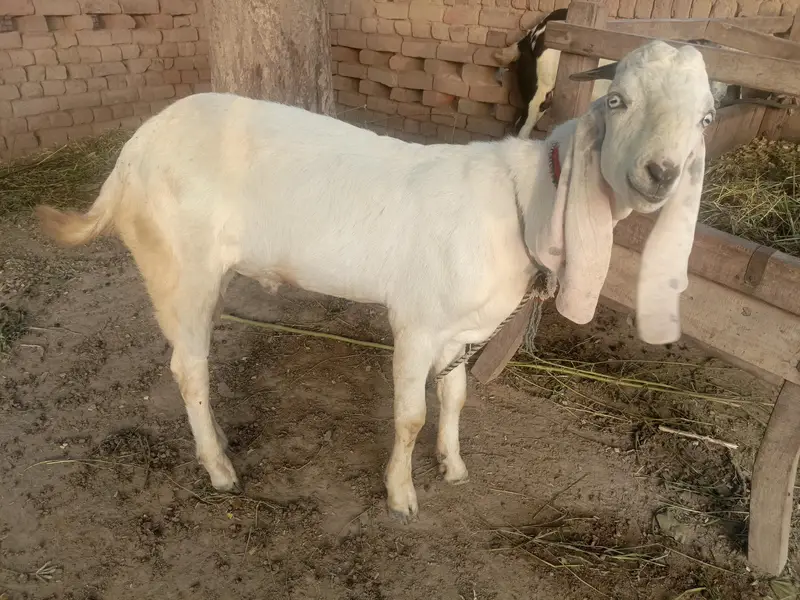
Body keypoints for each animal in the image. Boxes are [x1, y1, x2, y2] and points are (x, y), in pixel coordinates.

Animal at [37, 40, 714, 522]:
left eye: (706, 117)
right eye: (618, 101)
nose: (661, 172)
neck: (522, 201)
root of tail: (128, 159)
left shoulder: (459, 328)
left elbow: (455, 396)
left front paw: (453, 465)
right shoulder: (415, 321)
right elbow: (410, 415)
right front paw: (400, 495)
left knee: (190, 362)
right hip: (181, 266)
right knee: (187, 367)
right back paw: (220, 468)